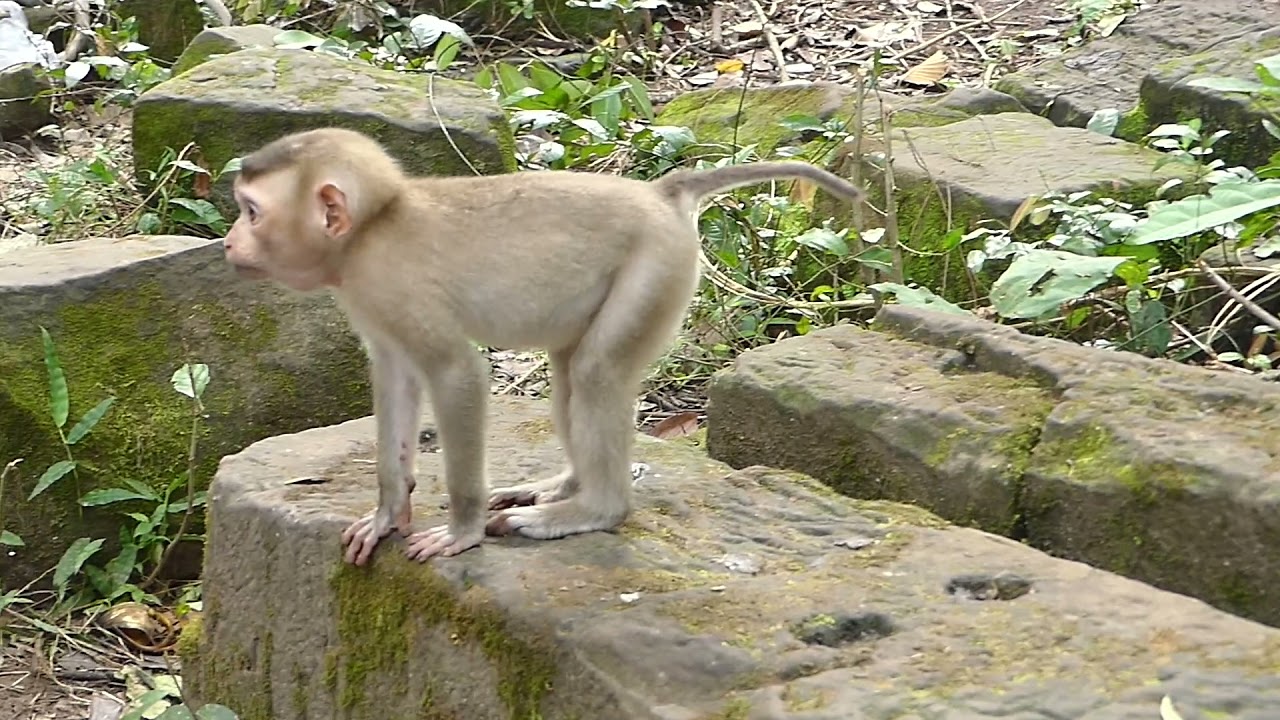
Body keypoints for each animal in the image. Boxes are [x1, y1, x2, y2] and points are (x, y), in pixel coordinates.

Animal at [221, 127, 865, 566]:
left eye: (251, 212)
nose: (228, 242)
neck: (369, 232)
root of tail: (660, 195)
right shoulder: (372, 302)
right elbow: (397, 378)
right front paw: (387, 512)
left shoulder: (392, 283)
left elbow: (457, 374)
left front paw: (461, 530)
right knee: (569, 369)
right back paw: (565, 486)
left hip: (658, 264)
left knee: (596, 371)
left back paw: (592, 509)